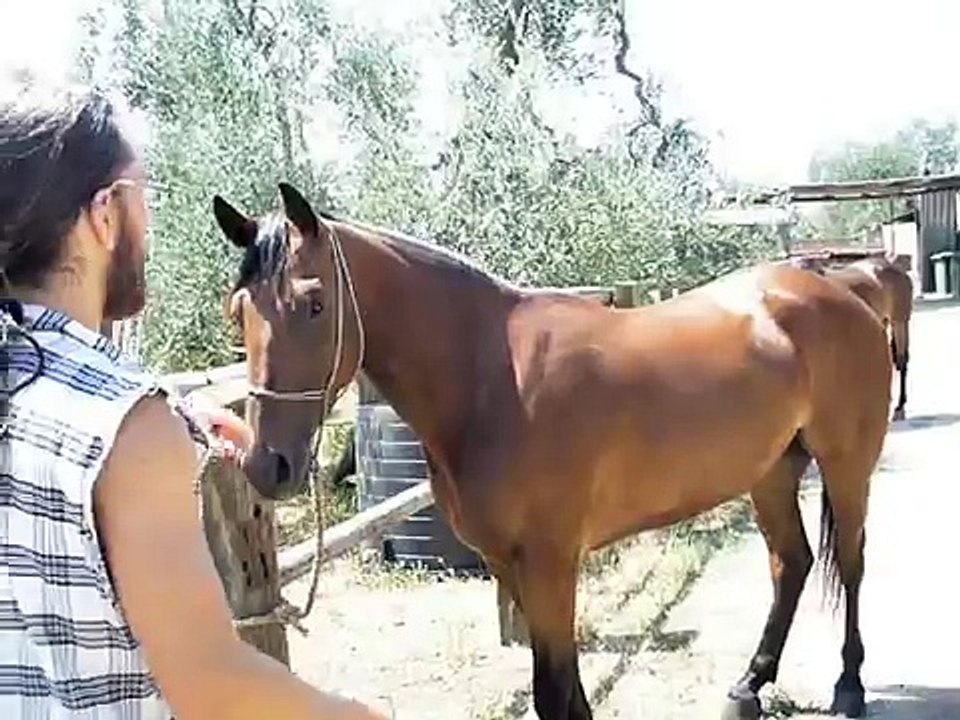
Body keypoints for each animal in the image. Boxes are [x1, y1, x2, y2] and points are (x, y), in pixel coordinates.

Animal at [213, 183, 892, 720]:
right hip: (771, 471)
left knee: (852, 563)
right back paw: (749, 686)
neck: (491, 378)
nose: (266, 464)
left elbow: (554, 691)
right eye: (238, 309)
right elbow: (566, 695)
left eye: (314, 303)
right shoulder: (511, 564)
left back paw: (849, 686)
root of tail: (840, 293)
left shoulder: (551, 561)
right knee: (790, 564)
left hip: (846, 463)